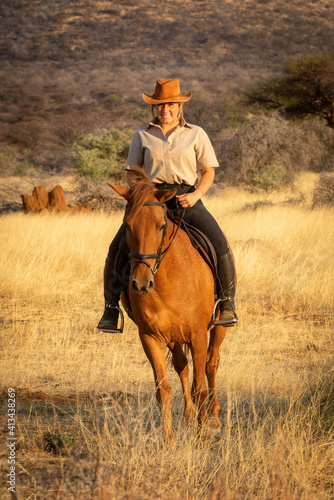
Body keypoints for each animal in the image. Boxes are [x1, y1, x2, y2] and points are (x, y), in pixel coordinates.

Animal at [109, 174, 232, 440]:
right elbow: (163, 391)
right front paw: (169, 441)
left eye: (160, 226)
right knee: (182, 366)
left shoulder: (198, 335)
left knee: (212, 363)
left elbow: (199, 386)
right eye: (127, 226)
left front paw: (202, 433)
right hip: (173, 337)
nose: (141, 283)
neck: (168, 279)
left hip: (219, 327)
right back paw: (190, 416)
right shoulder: (151, 337)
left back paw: (214, 417)